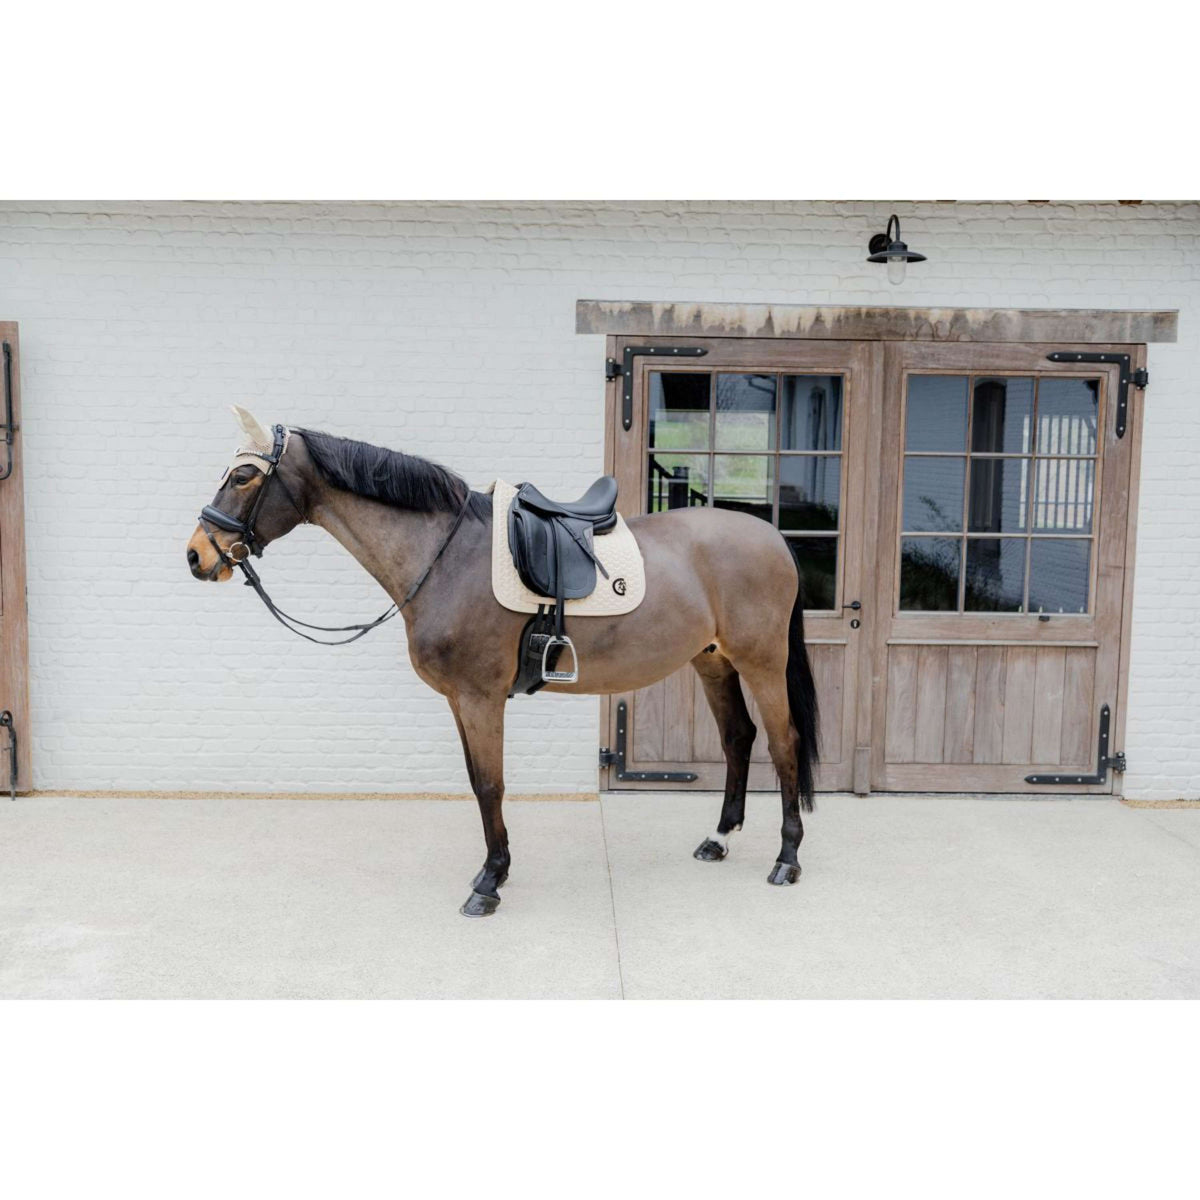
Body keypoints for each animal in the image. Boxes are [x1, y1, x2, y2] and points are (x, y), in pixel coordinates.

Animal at [187, 408, 820, 912]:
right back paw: (720, 839)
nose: (197, 556)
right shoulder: (460, 701)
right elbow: (476, 782)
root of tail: (772, 536)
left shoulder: (480, 697)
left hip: (762, 662)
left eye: (243, 476)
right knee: (738, 738)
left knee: (783, 744)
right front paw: (497, 868)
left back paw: (787, 859)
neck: (445, 556)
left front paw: (488, 884)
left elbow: (491, 785)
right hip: (713, 661)